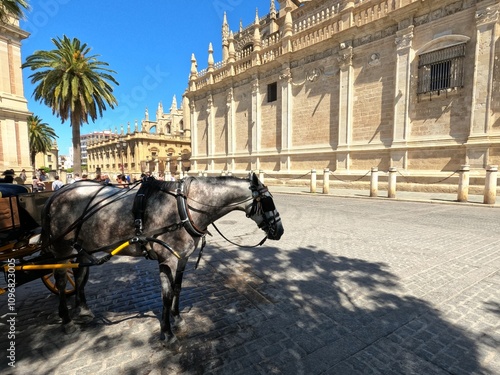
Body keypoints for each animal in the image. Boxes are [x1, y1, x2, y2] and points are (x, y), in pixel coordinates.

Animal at [41, 173, 284, 350]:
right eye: (268, 201)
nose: (279, 230)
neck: (184, 207)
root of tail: (57, 193)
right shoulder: (167, 260)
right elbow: (166, 296)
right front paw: (167, 333)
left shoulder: (181, 257)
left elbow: (177, 288)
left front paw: (177, 318)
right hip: (63, 247)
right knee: (61, 279)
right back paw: (67, 320)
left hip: (82, 247)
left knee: (79, 274)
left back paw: (82, 309)